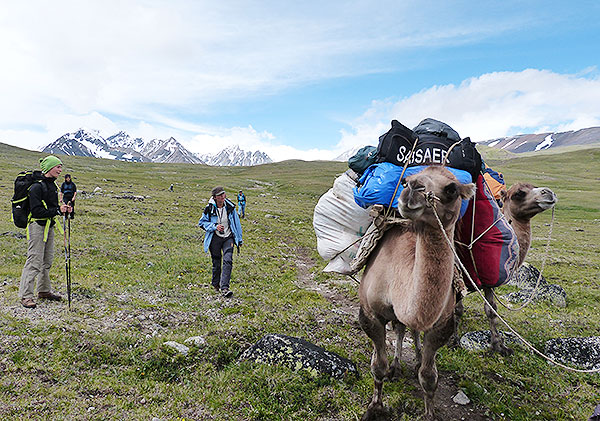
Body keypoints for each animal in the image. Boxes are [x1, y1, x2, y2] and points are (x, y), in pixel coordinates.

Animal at [358, 167, 476, 420]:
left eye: (452, 189)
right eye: (404, 181)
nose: (412, 188)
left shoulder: (442, 325)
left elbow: (429, 377)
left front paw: (429, 413)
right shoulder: (370, 315)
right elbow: (378, 366)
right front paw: (375, 407)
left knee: (409, 328)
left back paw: (416, 358)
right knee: (401, 328)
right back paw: (397, 366)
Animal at [454, 180, 556, 354]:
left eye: (534, 186)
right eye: (518, 193)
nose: (549, 192)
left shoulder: (486, 279)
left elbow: (491, 309)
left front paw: (499, 345)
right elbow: (457, 308)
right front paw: (451, 340)